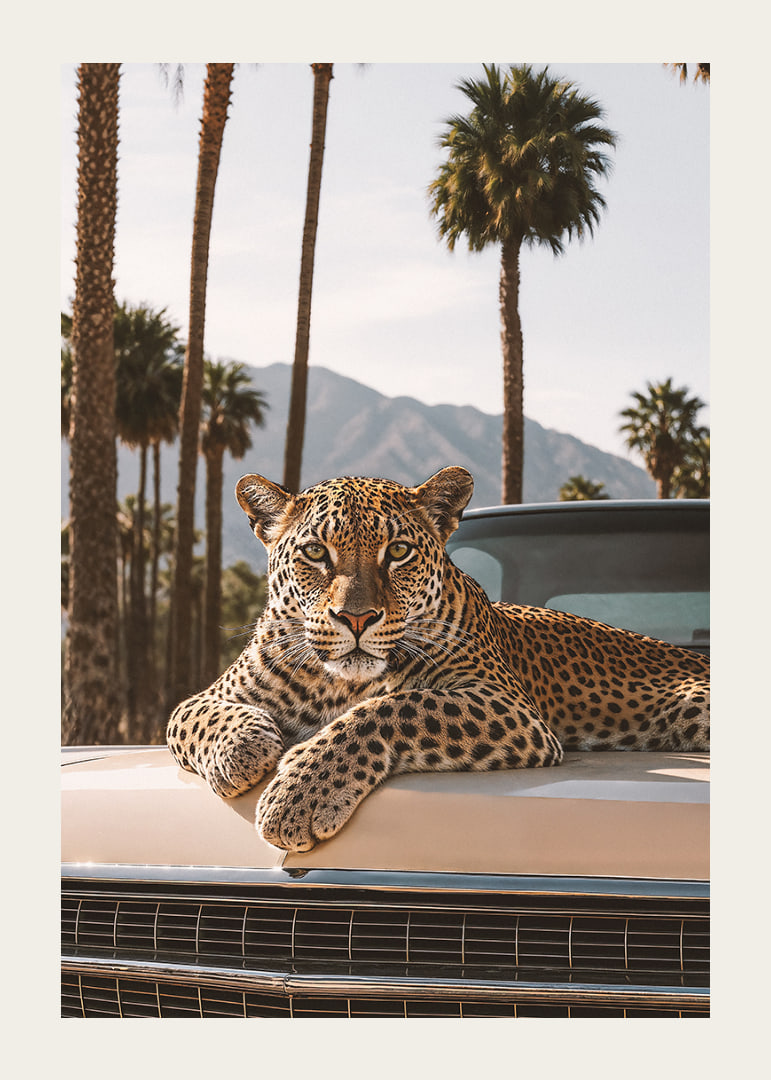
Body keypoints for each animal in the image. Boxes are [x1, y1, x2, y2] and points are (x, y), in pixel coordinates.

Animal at [167, 466, 710, 852]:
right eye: (316, 553)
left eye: (399, 552)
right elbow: (200, 717)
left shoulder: (507, 705)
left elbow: (394, 707)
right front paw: (241, 750)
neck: (337, 684)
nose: (356, 618)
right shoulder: (209, 696)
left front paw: (300, 793)